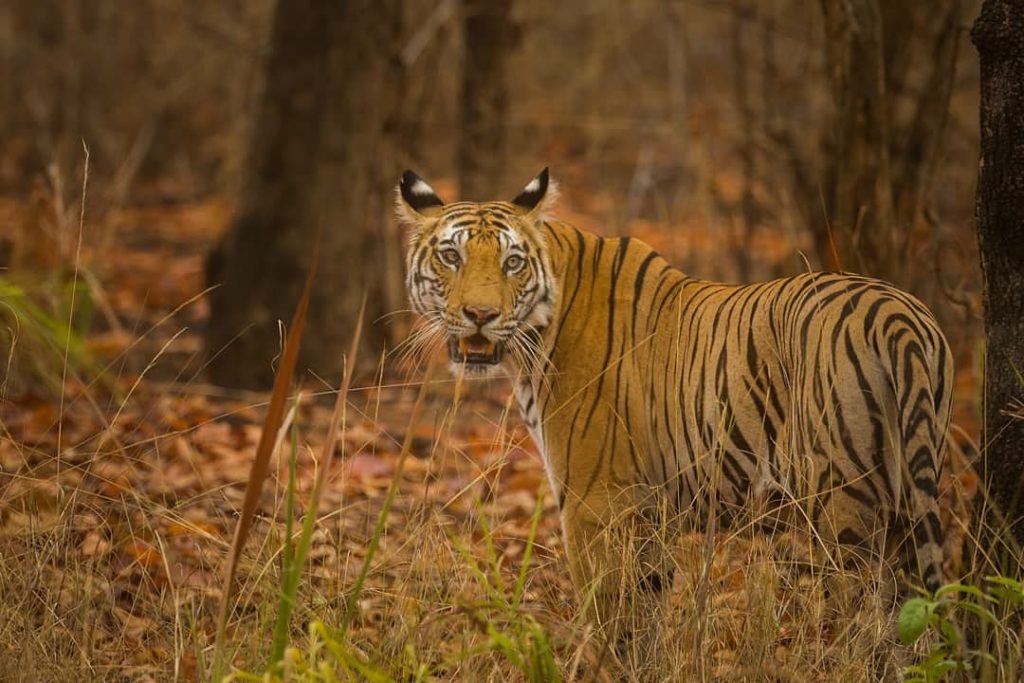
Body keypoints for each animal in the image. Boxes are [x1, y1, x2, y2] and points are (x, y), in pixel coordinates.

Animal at [395, 166, 954, 663]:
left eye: (512, 262)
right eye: (451, 256)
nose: (480, 315)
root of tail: (899, 318)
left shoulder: (596, 504)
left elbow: (610, 613)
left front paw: (603, 666)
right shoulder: (648, 512)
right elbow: (647, 611)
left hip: (843, 507)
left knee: (865, 620)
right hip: (910, 500)